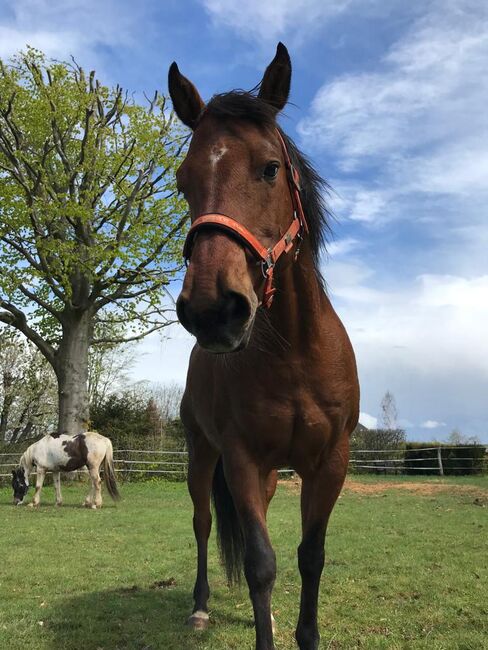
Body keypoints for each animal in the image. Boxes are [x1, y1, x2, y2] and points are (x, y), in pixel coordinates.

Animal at [168, 41, 358, 648]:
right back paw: (200, 607)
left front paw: (299, 631)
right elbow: (259, 563)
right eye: (182, 181)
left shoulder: (330, 463)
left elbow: (310, 556)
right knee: (203, 523)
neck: (294, 354)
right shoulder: (242, 459)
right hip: (202, 457)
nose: (212, 310)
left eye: (270, 169)